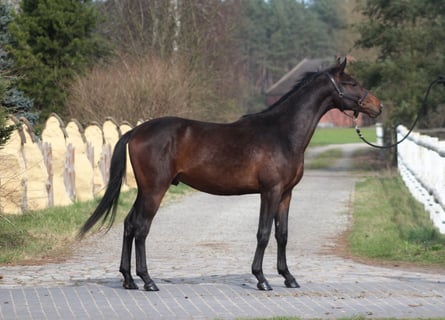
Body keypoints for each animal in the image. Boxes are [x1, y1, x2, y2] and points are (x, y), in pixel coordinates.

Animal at [78, 58, 380, 292]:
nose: (378, 107)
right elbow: (263, 233)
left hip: (144, 190)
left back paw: (129, 280)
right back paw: (148, 281)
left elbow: (282, 234)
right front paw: (261, 279)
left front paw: (288, 277)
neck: (282, 133)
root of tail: (136, 131)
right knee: (141, 228)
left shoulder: (286, 193)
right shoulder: (270, 191)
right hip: (155, 190)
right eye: (352, 83)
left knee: (129, 224)